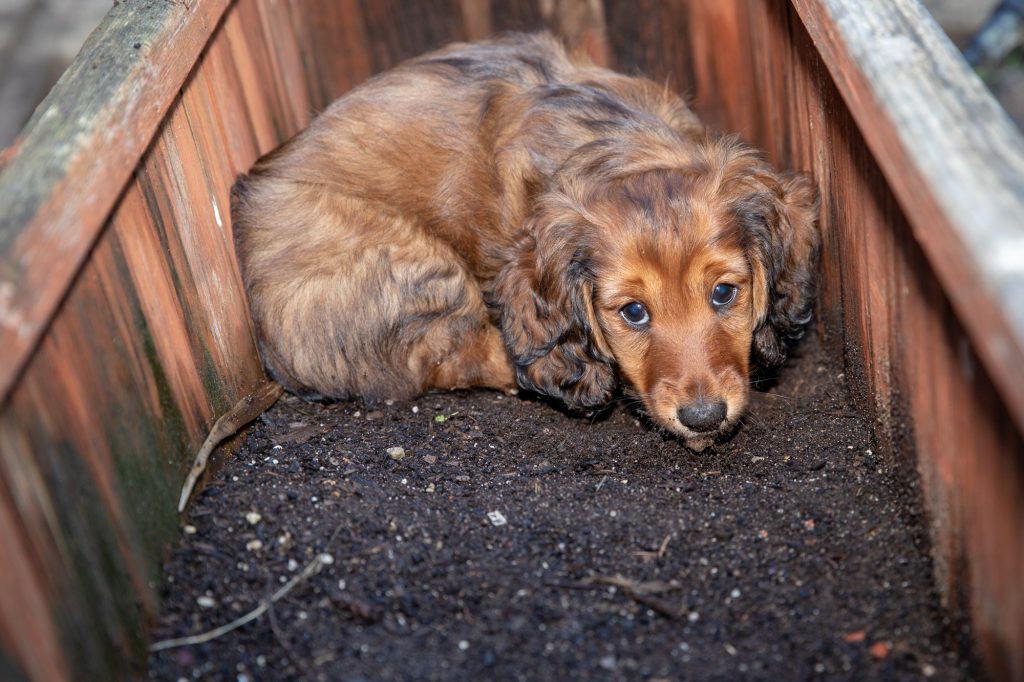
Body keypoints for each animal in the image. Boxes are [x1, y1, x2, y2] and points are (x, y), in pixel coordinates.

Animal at [232, 31, 815, 448]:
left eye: (724, 293)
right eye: (633, 313)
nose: (703, 417)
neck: (617, 144)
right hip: (409, 261)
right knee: (452, 359)